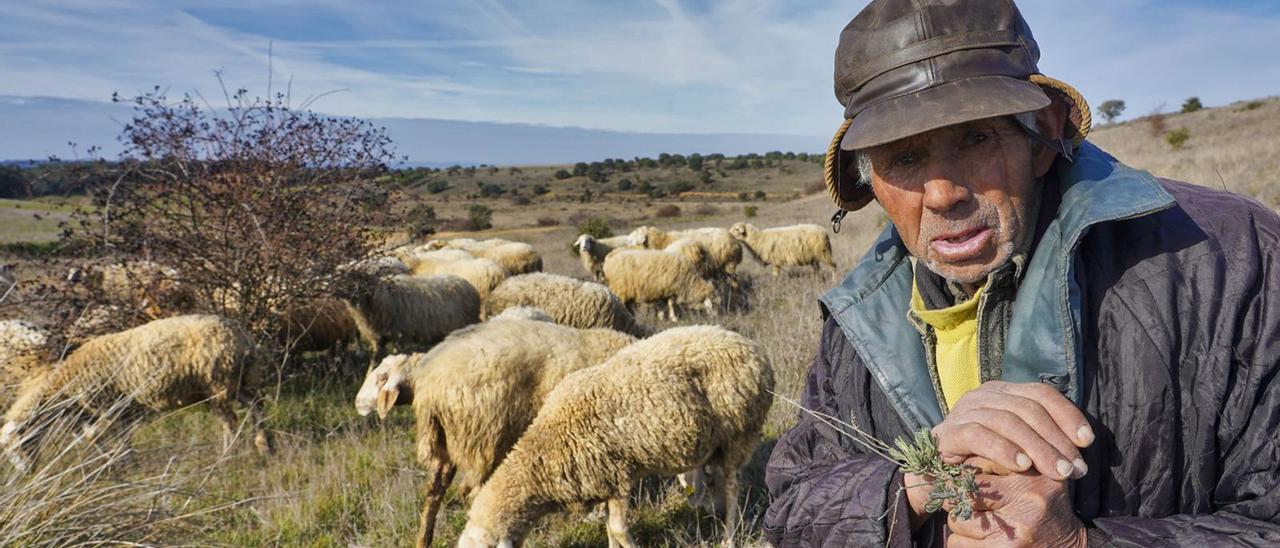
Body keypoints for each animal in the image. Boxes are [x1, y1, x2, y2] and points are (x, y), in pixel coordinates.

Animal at [1, 312, 272, 471]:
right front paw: (121, 462)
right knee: (257, 404)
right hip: (238, 381)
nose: (26, 473)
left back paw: (227, 457)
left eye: (17, 445)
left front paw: (121, 464)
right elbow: (102, 438)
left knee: (230, 420)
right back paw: (265, 445)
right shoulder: (105, 412)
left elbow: (101, 437)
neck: (66, 385)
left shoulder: (108, 406)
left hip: (217, 383)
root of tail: (243, 339)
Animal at [353, 318, 637, 545]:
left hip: (455, 443)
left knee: (434, 492)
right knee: (474, 495)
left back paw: (423, 540)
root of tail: (432, 382)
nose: (357, 403)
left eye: (381, 377)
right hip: (484, 438)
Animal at [460, 327, 778, 545]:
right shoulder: (604, 481)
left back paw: (728, 537)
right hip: (716, 444)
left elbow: (618, 530)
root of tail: (754, 348)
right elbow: (610, 531)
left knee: (733, 487)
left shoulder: (618, 475)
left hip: (740, 434)